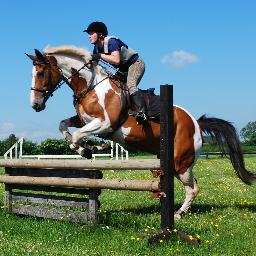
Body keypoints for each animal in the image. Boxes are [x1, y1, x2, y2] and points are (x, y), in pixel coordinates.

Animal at [25, 45, 255, 219]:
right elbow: (64, 125)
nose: (35, 105)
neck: (91, 86)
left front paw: (91, 148)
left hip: (181, 162)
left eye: (41, 73)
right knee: (189, 185)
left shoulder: (105, 123)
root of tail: (196, 123)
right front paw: (91, 148)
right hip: (171, 162)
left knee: (193, 188)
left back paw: (179, 214)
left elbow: (78, 135)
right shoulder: (84, 119)